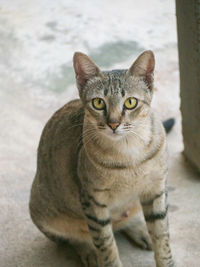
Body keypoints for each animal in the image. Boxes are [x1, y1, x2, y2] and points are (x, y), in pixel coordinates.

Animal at [29, 50, 175, 267]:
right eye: (98, 103)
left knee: (125, 221)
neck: (129, 154)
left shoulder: (156, 190)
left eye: (130, 102)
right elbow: (107, 247)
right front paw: (103, 256)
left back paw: (140, 230)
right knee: (74, 238)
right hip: (44, 213)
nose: (113, 124)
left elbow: (162, 237)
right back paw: (89, 251)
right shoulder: (93, 202)